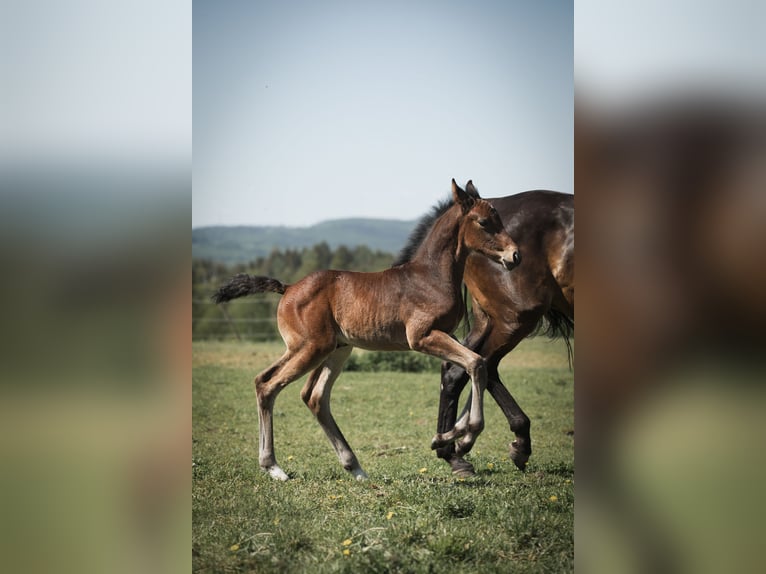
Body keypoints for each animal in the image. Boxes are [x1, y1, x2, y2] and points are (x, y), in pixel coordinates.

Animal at [213, 182, 520, 484]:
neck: (431, 276)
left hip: (334, 349)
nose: (515, 255)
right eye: (483, 222)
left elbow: (473, 365)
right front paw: (463, 437)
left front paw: (446, 437)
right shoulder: (422, 337)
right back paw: (274, 467)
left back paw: (355, 468)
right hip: (311, 348)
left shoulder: (446, 335)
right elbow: (476, 363)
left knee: (311, 396)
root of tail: (287, 288)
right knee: (269, 385)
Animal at [396, 183, 576, 476]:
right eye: (483, 223)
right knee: (479, 364)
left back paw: (452, 447)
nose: (514, 255)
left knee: (465, 365)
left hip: (489, 320)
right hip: (514, 318)